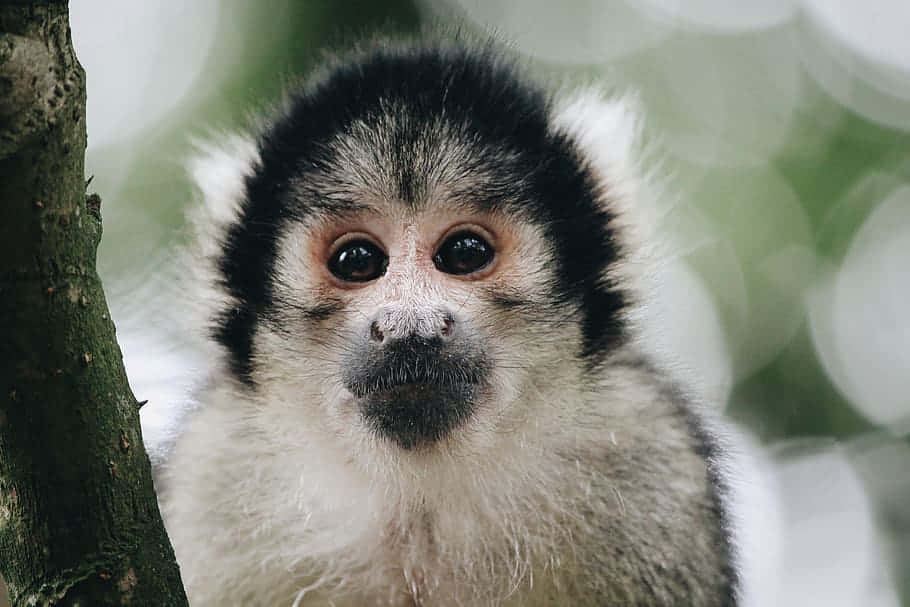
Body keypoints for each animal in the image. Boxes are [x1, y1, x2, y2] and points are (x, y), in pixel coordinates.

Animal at [157, 37, 742, 606]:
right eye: (357, 261)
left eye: (465, 253)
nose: (408, 327)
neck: (422, 501)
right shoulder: (208, 476)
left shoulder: (656, 466)